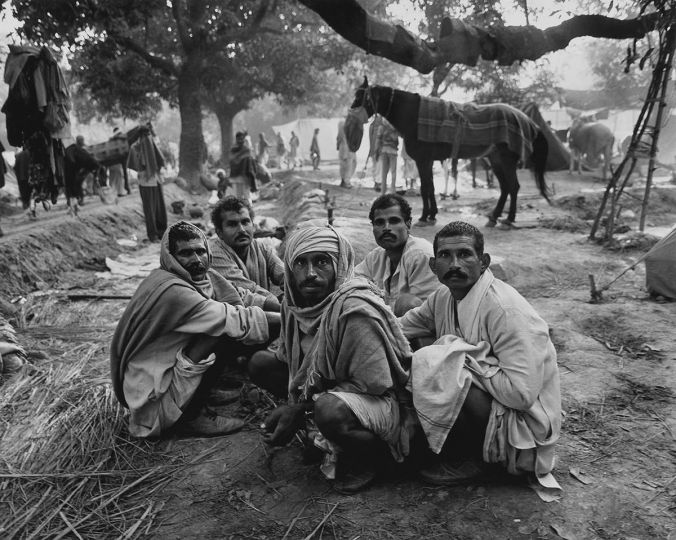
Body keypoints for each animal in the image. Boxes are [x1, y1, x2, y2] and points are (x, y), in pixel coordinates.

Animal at [346, 77, 552, 226]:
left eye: (361, 96)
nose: (350, 111)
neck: (414, 115)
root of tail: (528, 120)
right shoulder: (427, 161)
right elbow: (430, 187)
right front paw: (432, 215)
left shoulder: (423, 160)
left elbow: (425, 188)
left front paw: (424, 216)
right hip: (496, 160)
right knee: (505, 187)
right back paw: (494, 217)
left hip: (506, 160)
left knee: (513, 187)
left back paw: (508, 219)